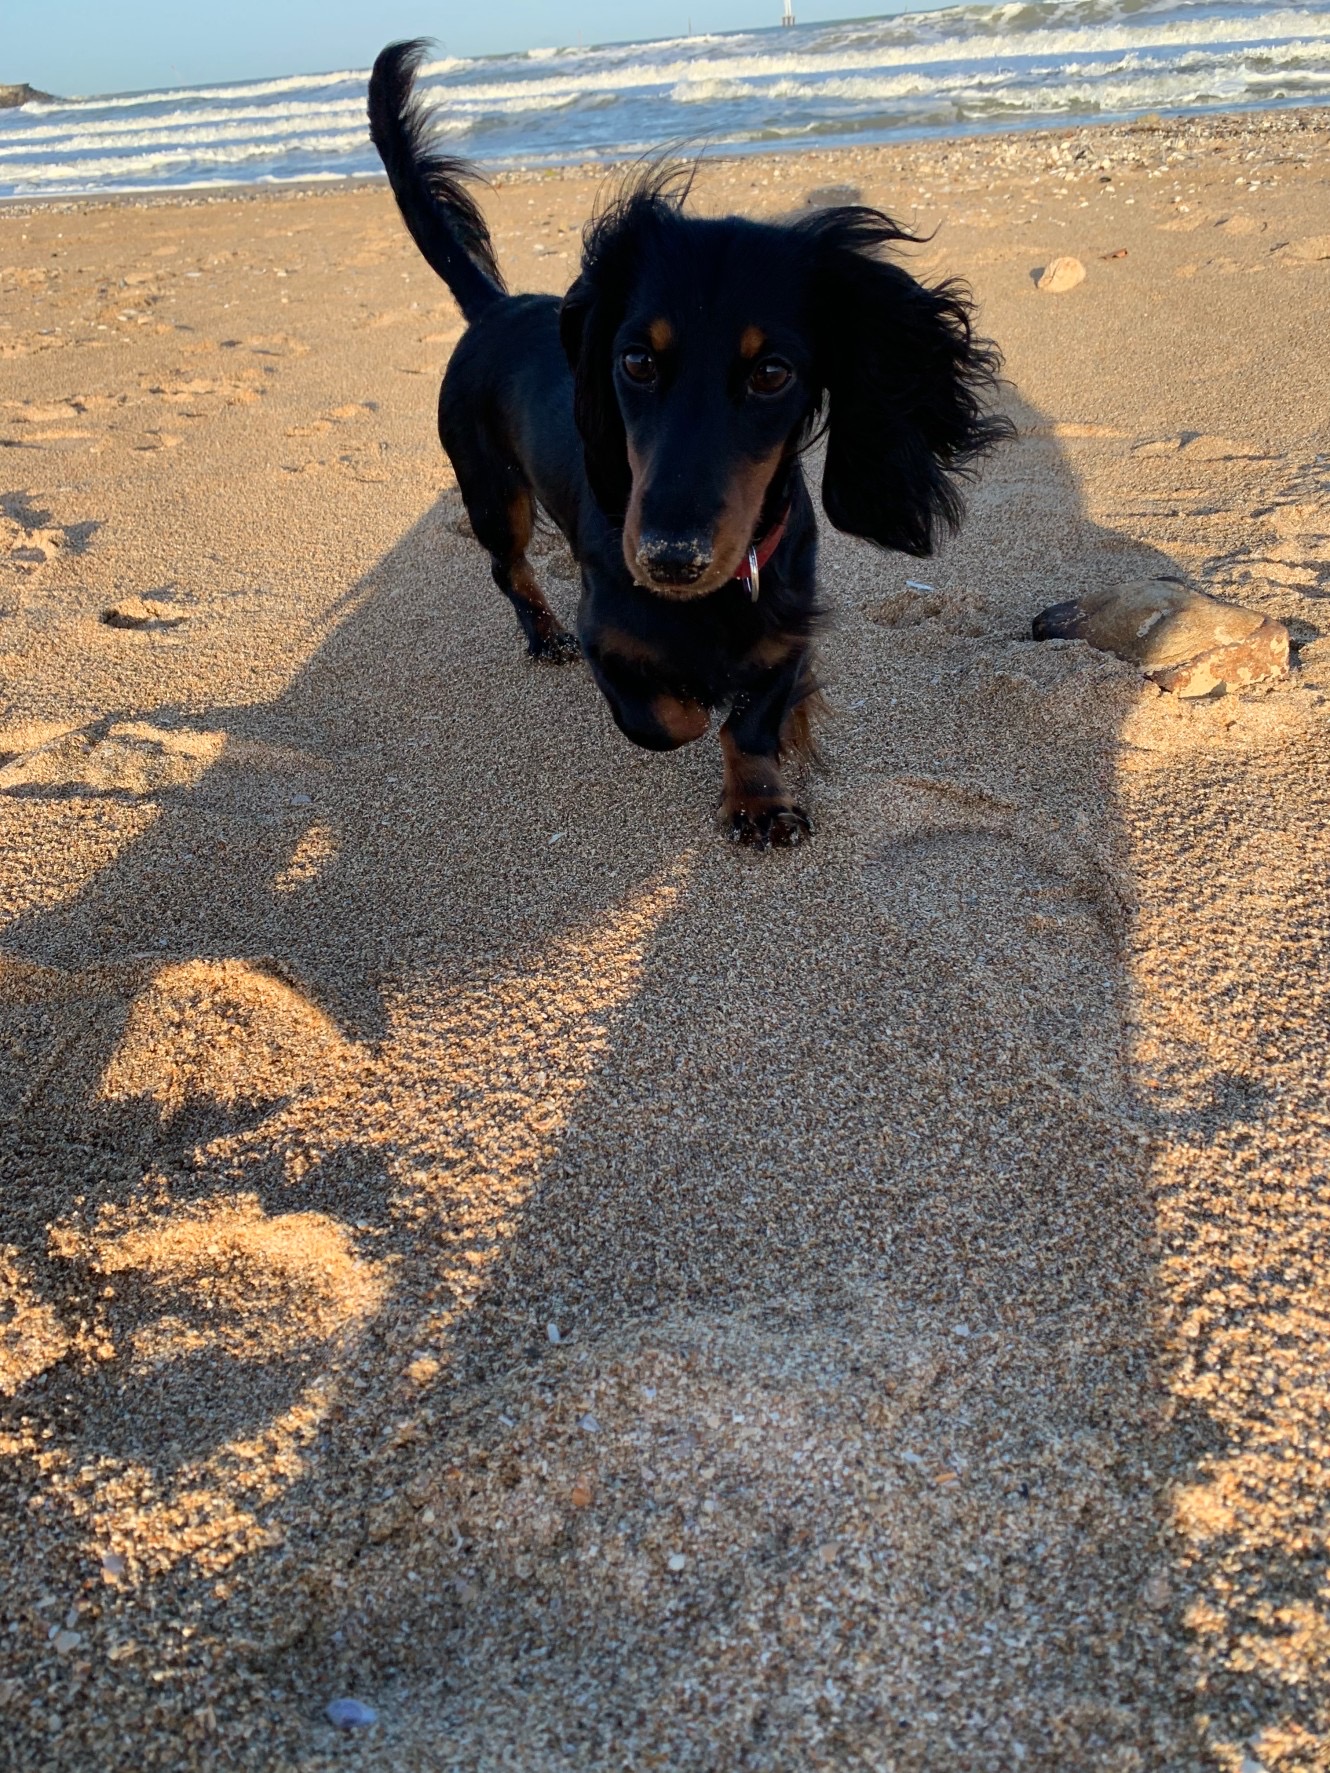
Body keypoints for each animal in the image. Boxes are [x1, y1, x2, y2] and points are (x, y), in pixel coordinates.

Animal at [365, 41, 1007, 843]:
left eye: (772, 372)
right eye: (637, 360)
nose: (672, 560)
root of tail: (495, 308)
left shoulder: (788, 627)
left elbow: (755, 717)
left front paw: (764, 792)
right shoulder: (611, 639)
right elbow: (672, 717)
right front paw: (706, 708)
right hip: (493, 495)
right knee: (508, 569)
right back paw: (543, 635)